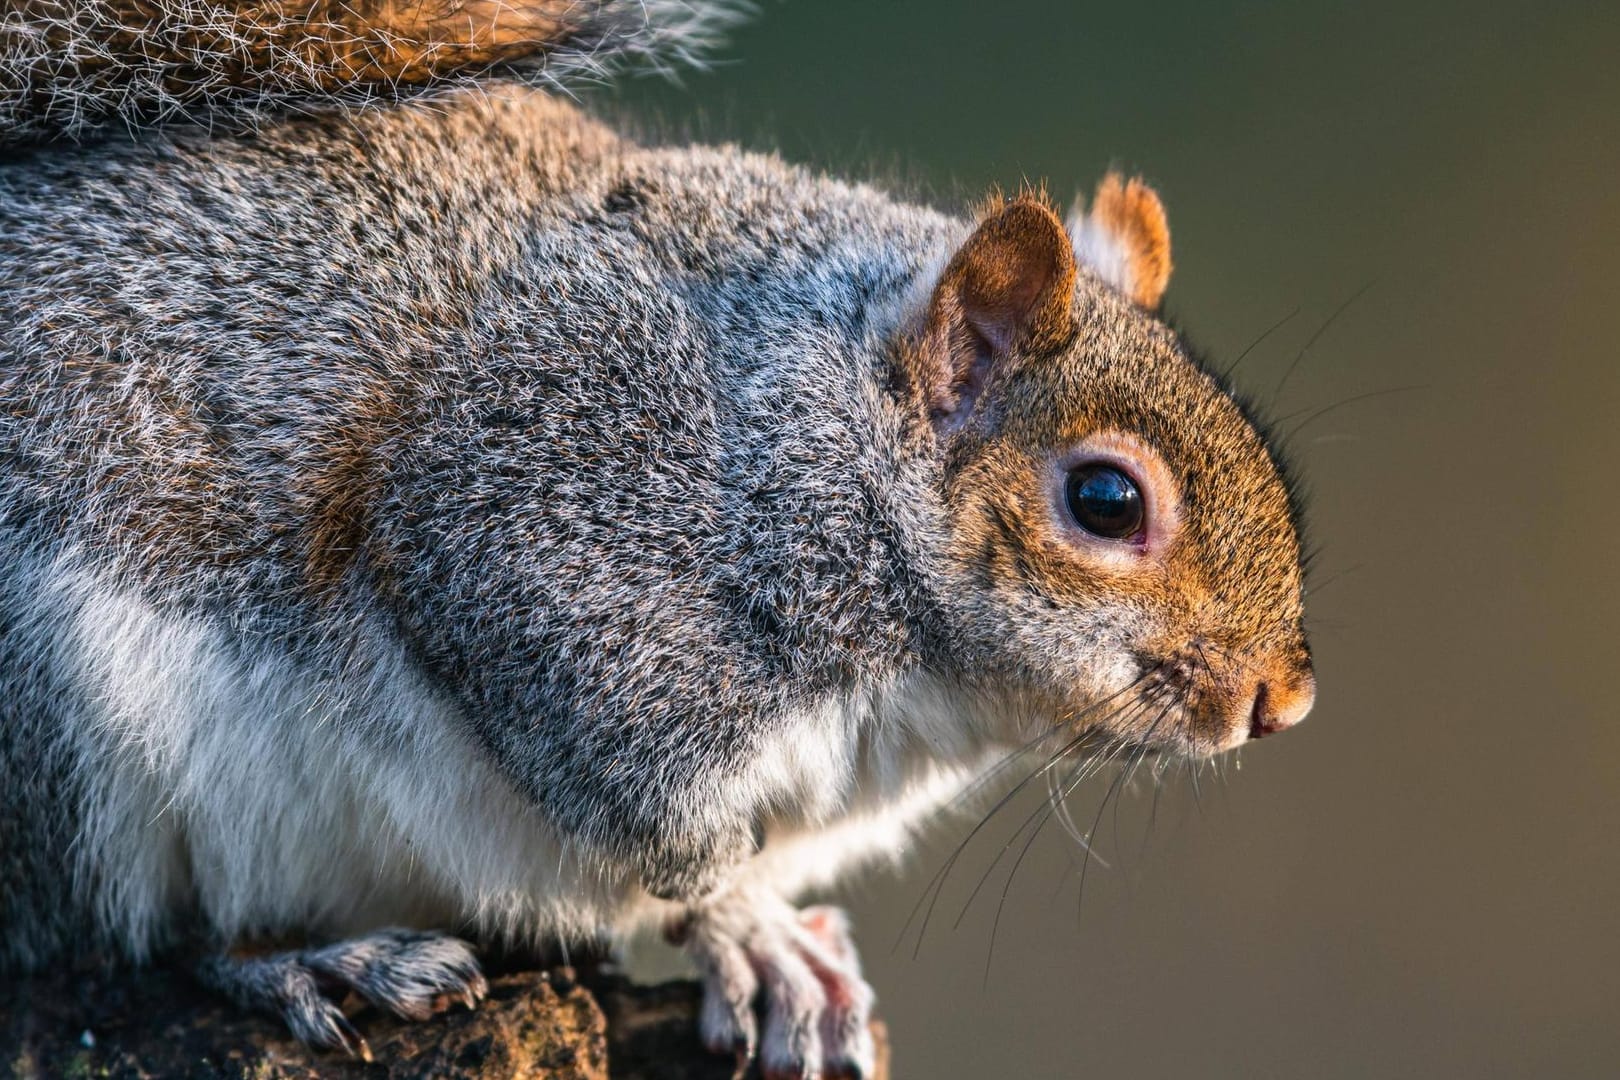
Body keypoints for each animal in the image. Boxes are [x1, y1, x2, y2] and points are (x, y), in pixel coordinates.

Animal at [0, 4, 1315, 1075]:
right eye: (1107, 502)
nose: (1282, 702)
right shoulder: (552, 544)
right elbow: (653, 823)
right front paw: (747, 925)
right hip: (60, 732)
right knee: (110, 943)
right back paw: (316, 960)